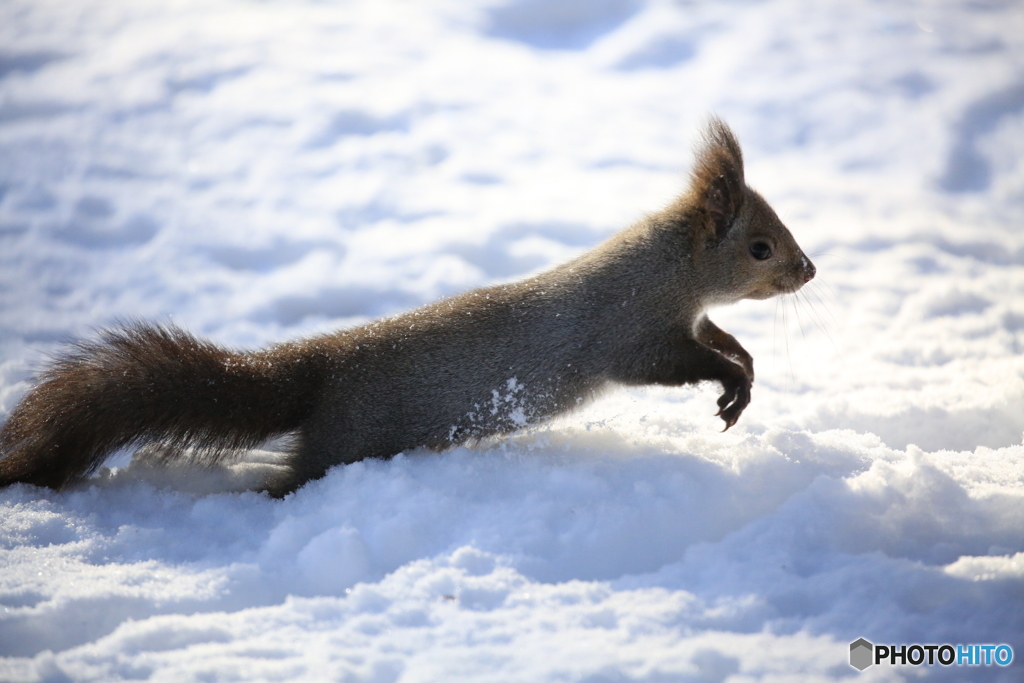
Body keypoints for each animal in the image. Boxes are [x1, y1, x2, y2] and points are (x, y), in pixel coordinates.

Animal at [0, 118, 815, 497]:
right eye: (760, 247)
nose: (810, 269)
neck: (669, 269)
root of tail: (321, 368)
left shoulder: (690, 319)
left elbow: (723, 339)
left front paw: (745, 369)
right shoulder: (632, 331)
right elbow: (675, 363)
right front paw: (731, 386)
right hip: (346, 443)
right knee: (288, 480)